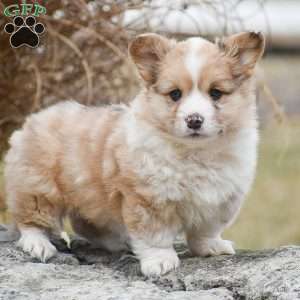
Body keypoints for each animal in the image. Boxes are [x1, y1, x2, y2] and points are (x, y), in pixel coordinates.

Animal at [3, 31, 264, 276]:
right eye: (175, 94)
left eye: (216, 93)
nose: (194, 120)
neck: (195, 153)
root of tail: (33, 119)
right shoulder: (148, 200)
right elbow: (155, 236)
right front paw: (160, 262)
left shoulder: (221, 201)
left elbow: (205, 231)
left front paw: (211, 247)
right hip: (38, 188)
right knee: (30, 221)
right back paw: (39, 245)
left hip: (90, 197)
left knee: (86, 225)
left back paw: (120, 242)